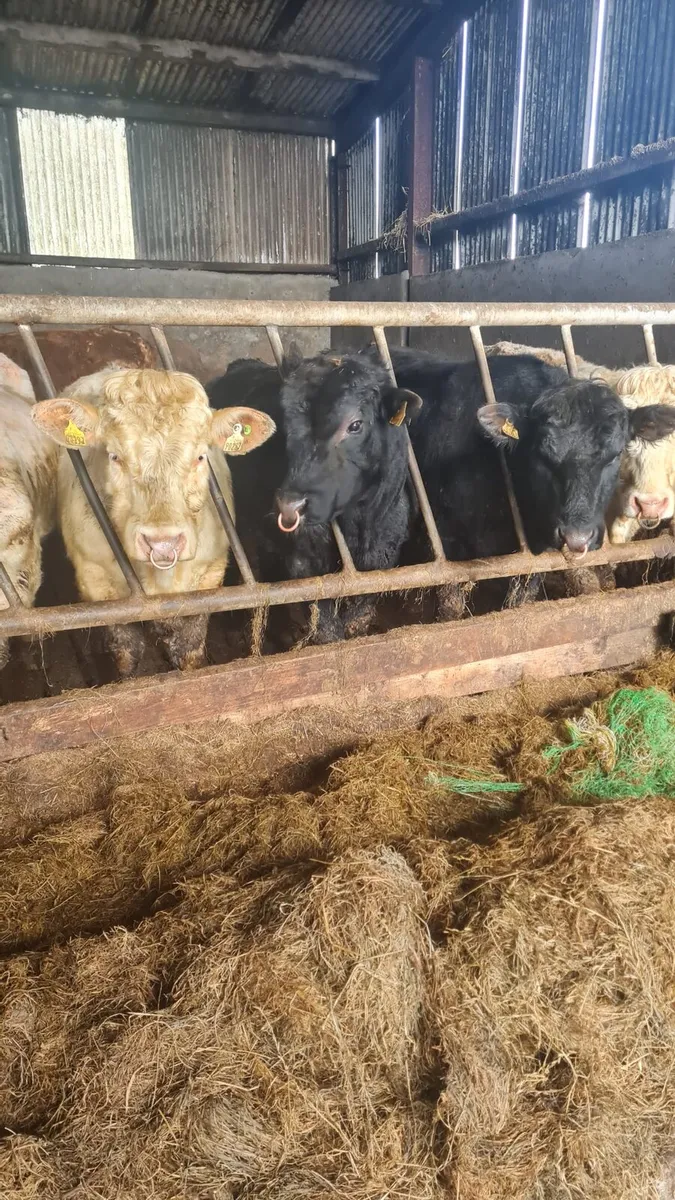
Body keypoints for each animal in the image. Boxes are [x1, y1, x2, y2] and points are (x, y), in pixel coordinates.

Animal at [31, 367, 275, 678]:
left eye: (200, 456)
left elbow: (189, 650)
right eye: (114, 456)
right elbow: (126, 653)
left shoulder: (209, 575)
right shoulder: (96, 581)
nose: (162, 543)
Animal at [208, 351, 422, 644]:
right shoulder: (303, 562)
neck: (359, 527)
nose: (289, 506)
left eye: (355, 424)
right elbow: (326, 627)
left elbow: (358, 617)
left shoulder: (383, 557)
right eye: (284, 426)